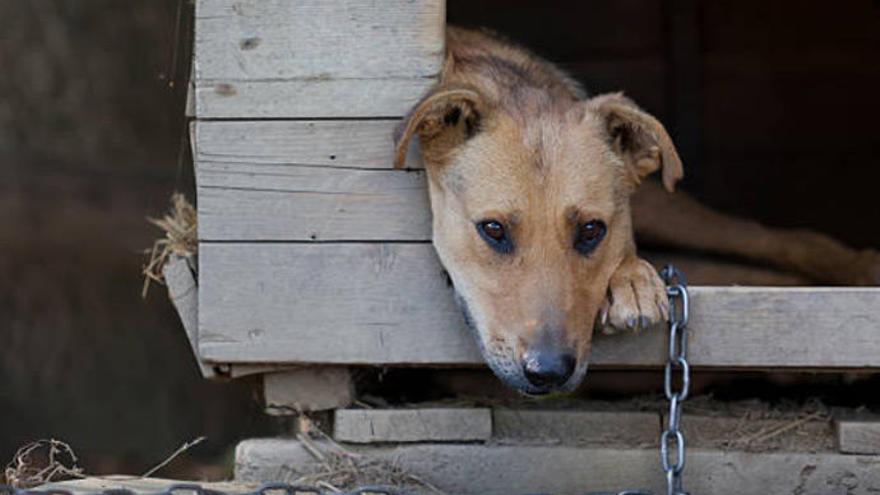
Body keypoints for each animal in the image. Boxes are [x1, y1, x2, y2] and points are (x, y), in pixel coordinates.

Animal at [394, 27, 880, 396]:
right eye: (493, 229)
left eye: (592, 230)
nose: (549, 372)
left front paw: (633, 280)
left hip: (671, 208)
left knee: (781, 242)